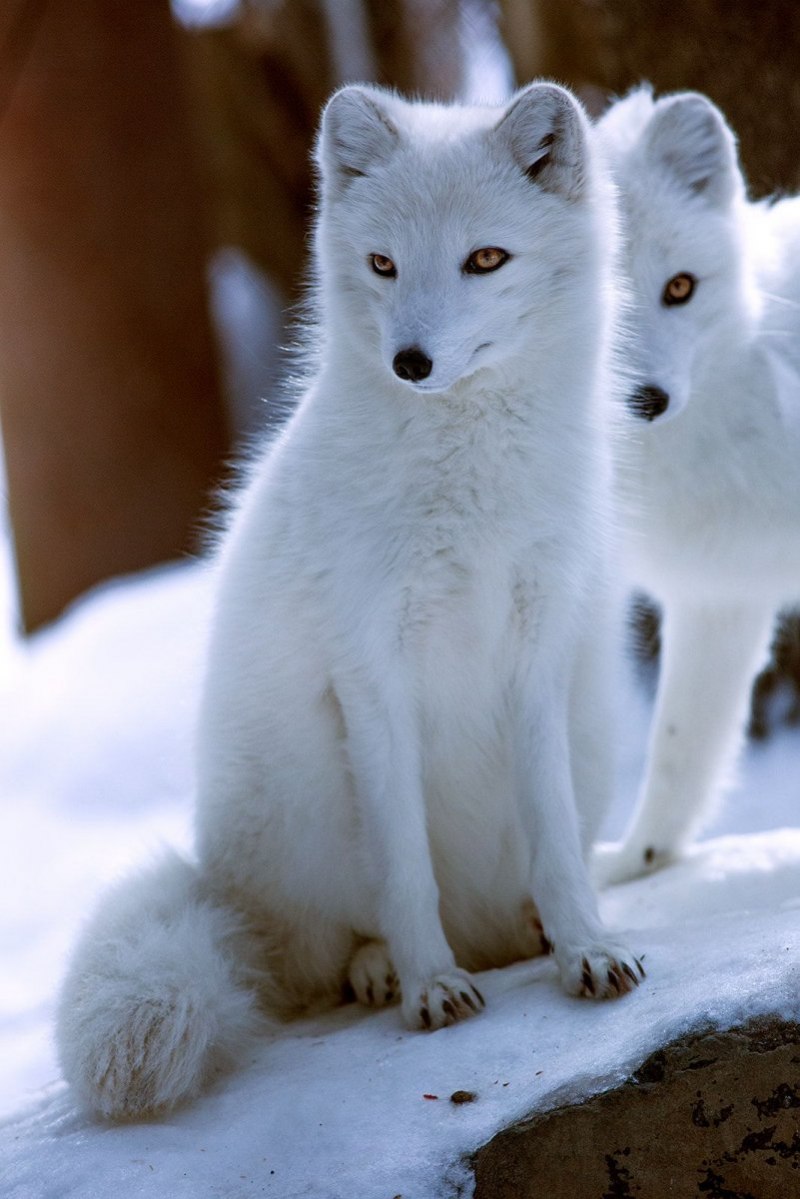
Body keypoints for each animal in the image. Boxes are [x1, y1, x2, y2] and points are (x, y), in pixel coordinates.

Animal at [56, 79, 642, 1117]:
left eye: (485, 258)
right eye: (382, 264)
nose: (410, 360)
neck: (466, 482)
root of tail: (214, 884)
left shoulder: (536, 655)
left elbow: (558, 843)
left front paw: (585, 947)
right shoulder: (371, 671)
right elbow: (405, 866)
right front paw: (427, 985)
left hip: (593, 733)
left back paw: (526, 931)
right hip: (304, 804)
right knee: (318, 960)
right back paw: (381, 968)